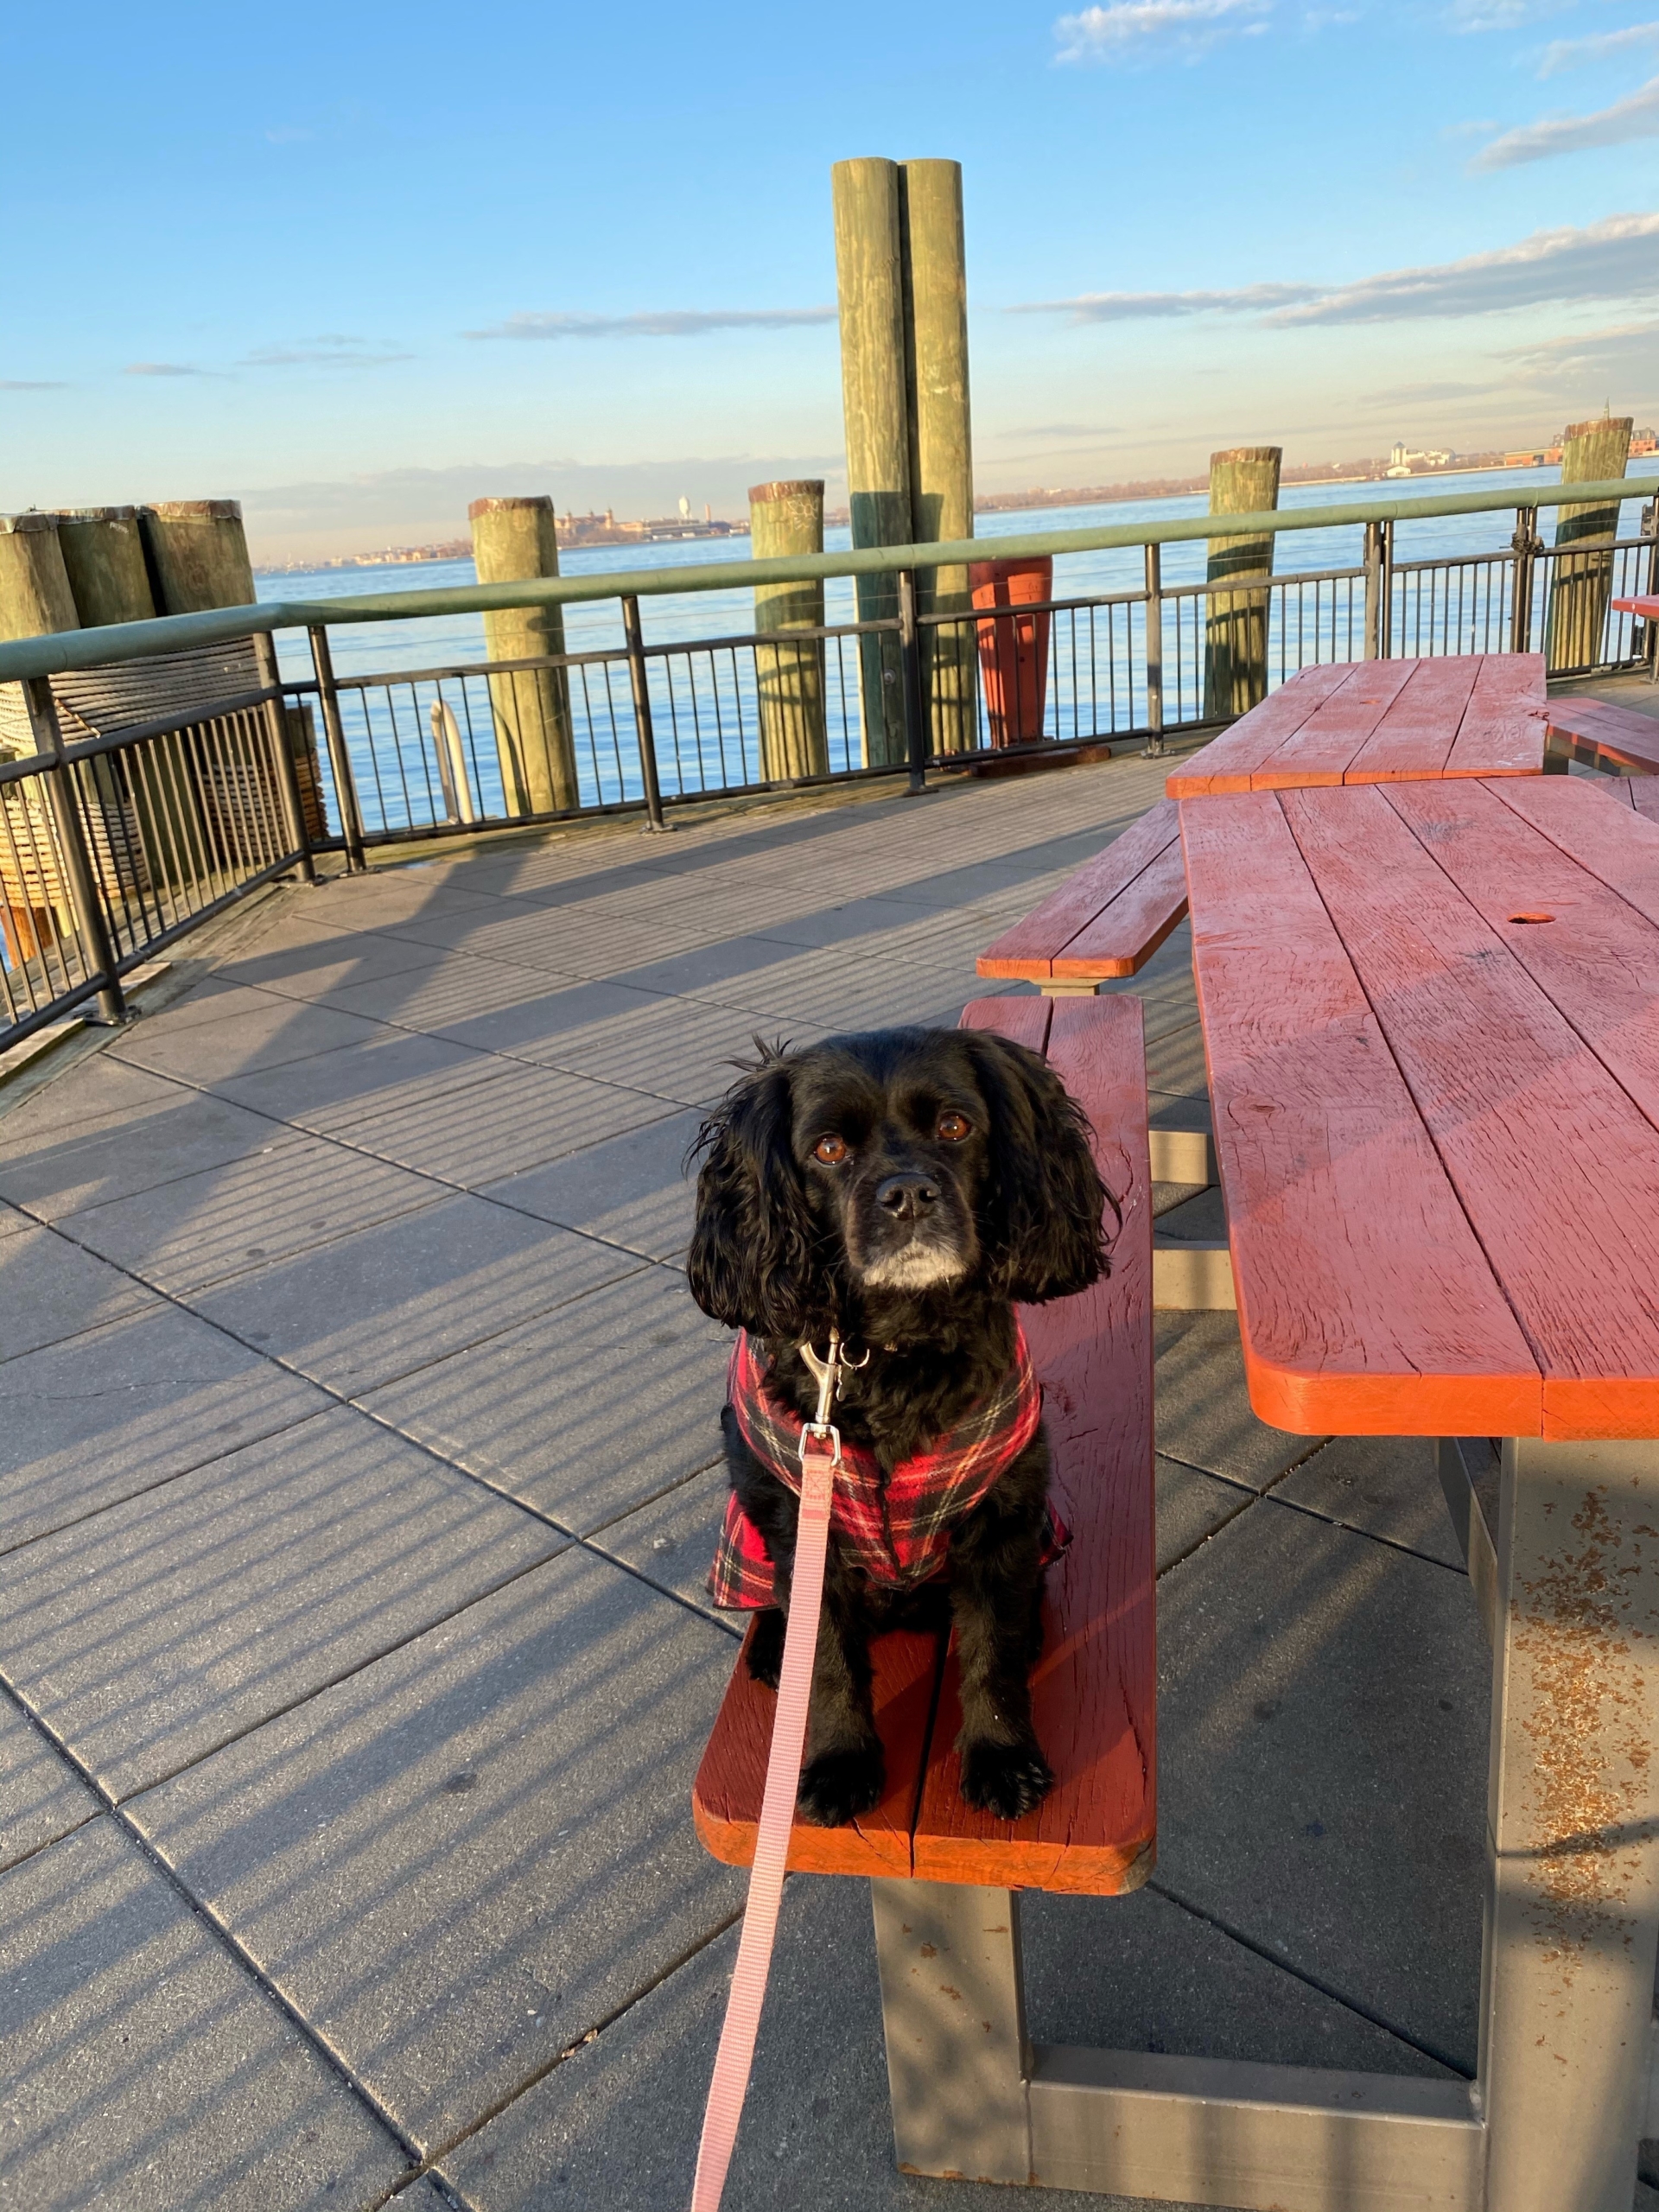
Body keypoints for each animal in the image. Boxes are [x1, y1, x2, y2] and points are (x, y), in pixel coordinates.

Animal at [690, 1026, 1106, 1822]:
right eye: (828, 1149)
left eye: (955, 1127)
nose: (908, 1194)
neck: (893, 1349)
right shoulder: (805, 1527)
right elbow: (825, 1662)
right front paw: (838, 1764)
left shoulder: (1002, 1520)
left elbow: (991, 1654)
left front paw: (1002, 1758)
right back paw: (771, 1647)